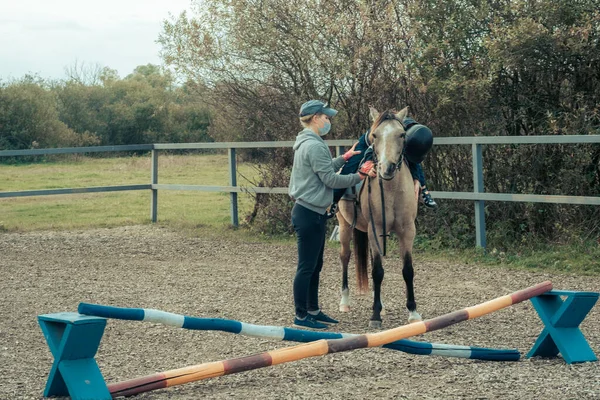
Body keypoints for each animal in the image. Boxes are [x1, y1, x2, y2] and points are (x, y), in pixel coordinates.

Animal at [338, 107, 422, 328]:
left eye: (401, 135)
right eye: (375, 135)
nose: (387, 168)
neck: (391, 191)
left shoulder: (407, 232)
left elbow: (407, 270)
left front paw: (413, 312)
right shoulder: (374, 229)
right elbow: (377, 272)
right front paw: (375, 316)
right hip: (344, 226)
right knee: (345, 257)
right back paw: (345, 302)